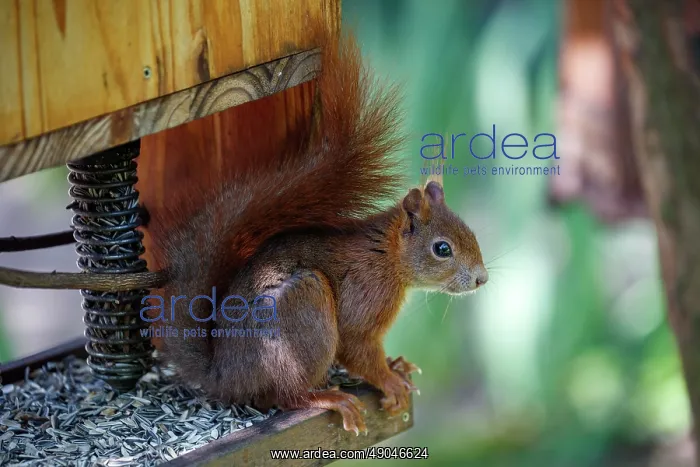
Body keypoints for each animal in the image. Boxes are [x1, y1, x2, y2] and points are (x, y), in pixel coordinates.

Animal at [148, 20, 489, 435]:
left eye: (471, 233)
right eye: (442, 249)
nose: (482, 278)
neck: (387, 258)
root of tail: (226, 376)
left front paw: (395, 365)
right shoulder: (362, 301)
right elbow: (357, 349)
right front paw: (389, 379)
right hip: (301, 313)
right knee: (286, 396)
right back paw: (329, 398)